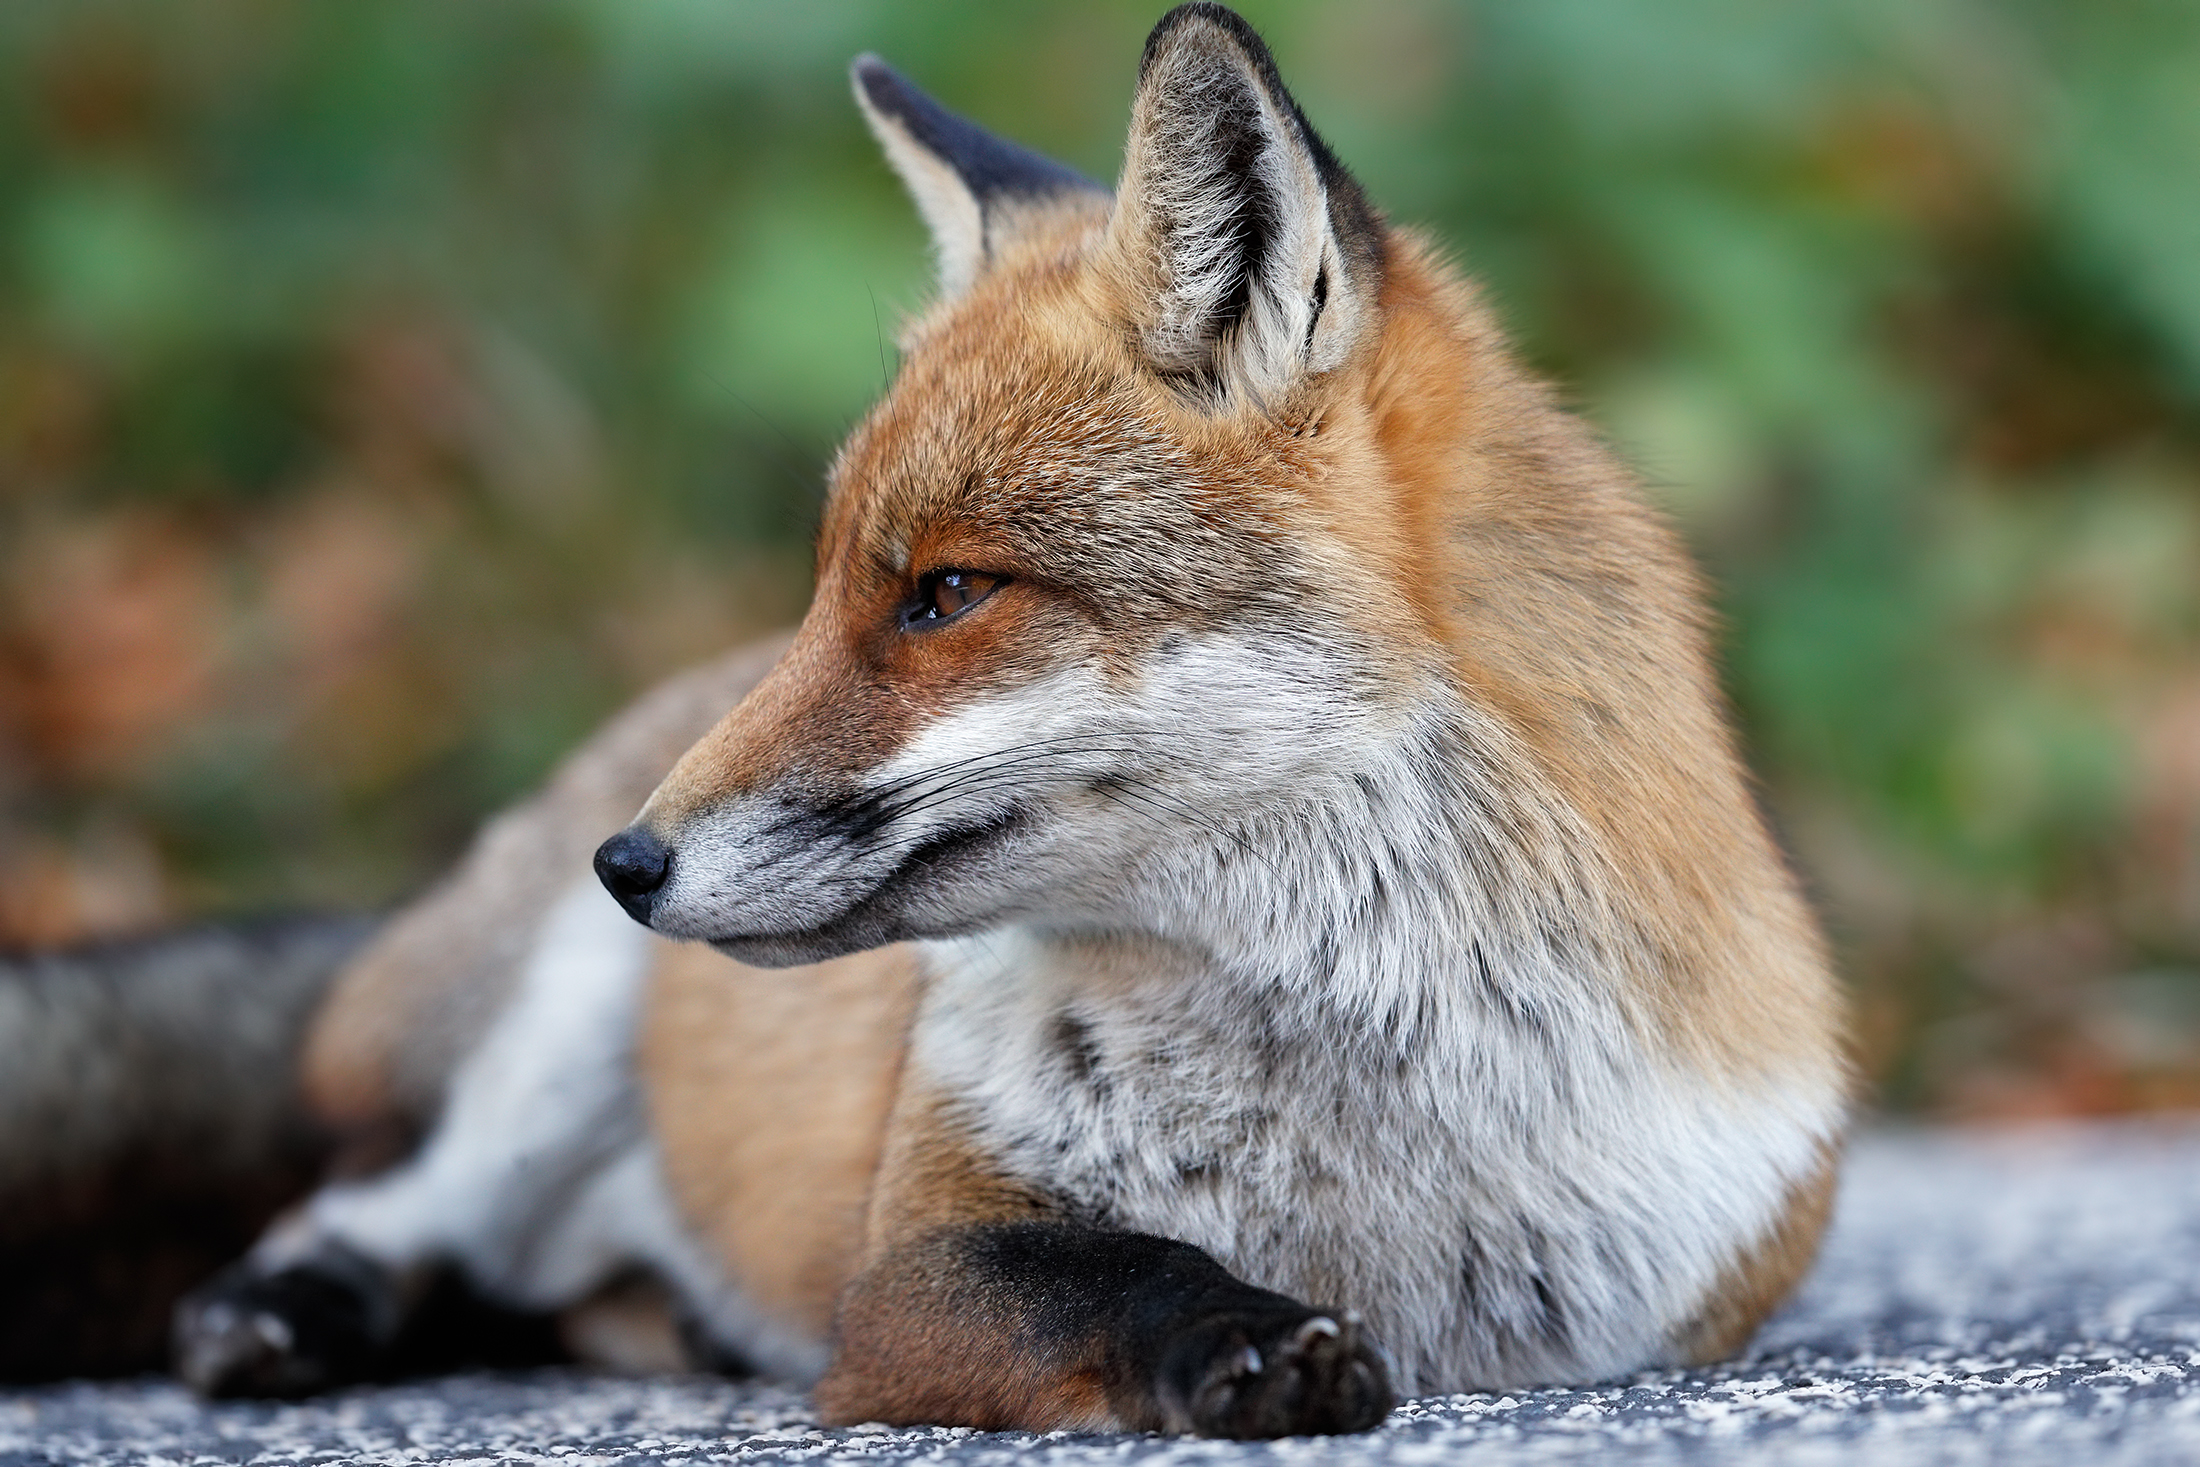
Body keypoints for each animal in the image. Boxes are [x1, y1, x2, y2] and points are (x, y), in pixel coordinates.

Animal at [107, 3, 1848, 1439]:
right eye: (827, 586)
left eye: (944, 592)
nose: (629, 862)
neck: (1360, 1114)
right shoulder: (910, 1264)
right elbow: (1117, 1266)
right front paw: (1245, 1338)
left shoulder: (1711, 1277)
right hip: (526, 1052)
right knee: (363, 1203)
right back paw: (277, 1314)